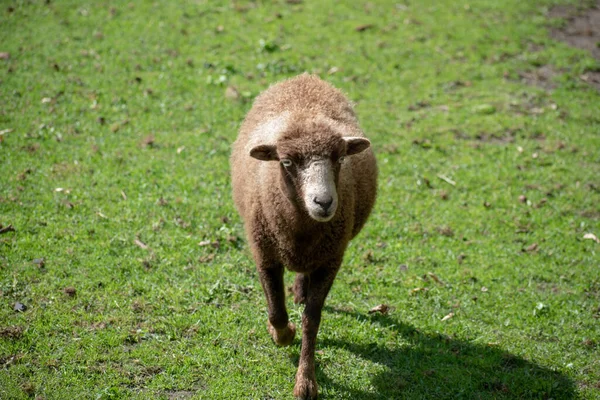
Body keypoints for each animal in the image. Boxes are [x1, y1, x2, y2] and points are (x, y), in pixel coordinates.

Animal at [231, 73, 378, 398]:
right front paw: (282, 334)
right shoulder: (264, 253)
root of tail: (305, 78)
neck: (300, 230)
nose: (323, 202)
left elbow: (312, 320)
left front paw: (306, 381)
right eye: (286, 162)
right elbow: (275, 309)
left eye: (340, 159)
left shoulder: (331, 260)